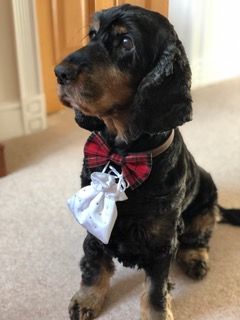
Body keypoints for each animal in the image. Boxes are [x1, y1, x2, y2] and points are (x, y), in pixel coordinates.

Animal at [54, 4, 240, 320]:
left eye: (125, 41)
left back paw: (195, 260)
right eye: (92, 34)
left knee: (200, 238)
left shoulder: (161, 242)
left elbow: (155, 291)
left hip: (204, 204)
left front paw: (157, 313)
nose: (59, 72)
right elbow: (94, 265)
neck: (124, 154)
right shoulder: (95, 227)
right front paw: (87, 300)